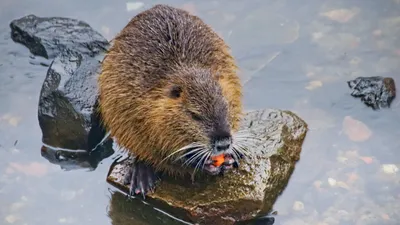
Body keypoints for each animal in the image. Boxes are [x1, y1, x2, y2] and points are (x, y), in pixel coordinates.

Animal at [97, 3, 247, 197]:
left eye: (226, 107)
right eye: (195, 115)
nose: (223, 143)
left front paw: (230, 158)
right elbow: (156, 149)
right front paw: (202, 162)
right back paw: (141, 178)